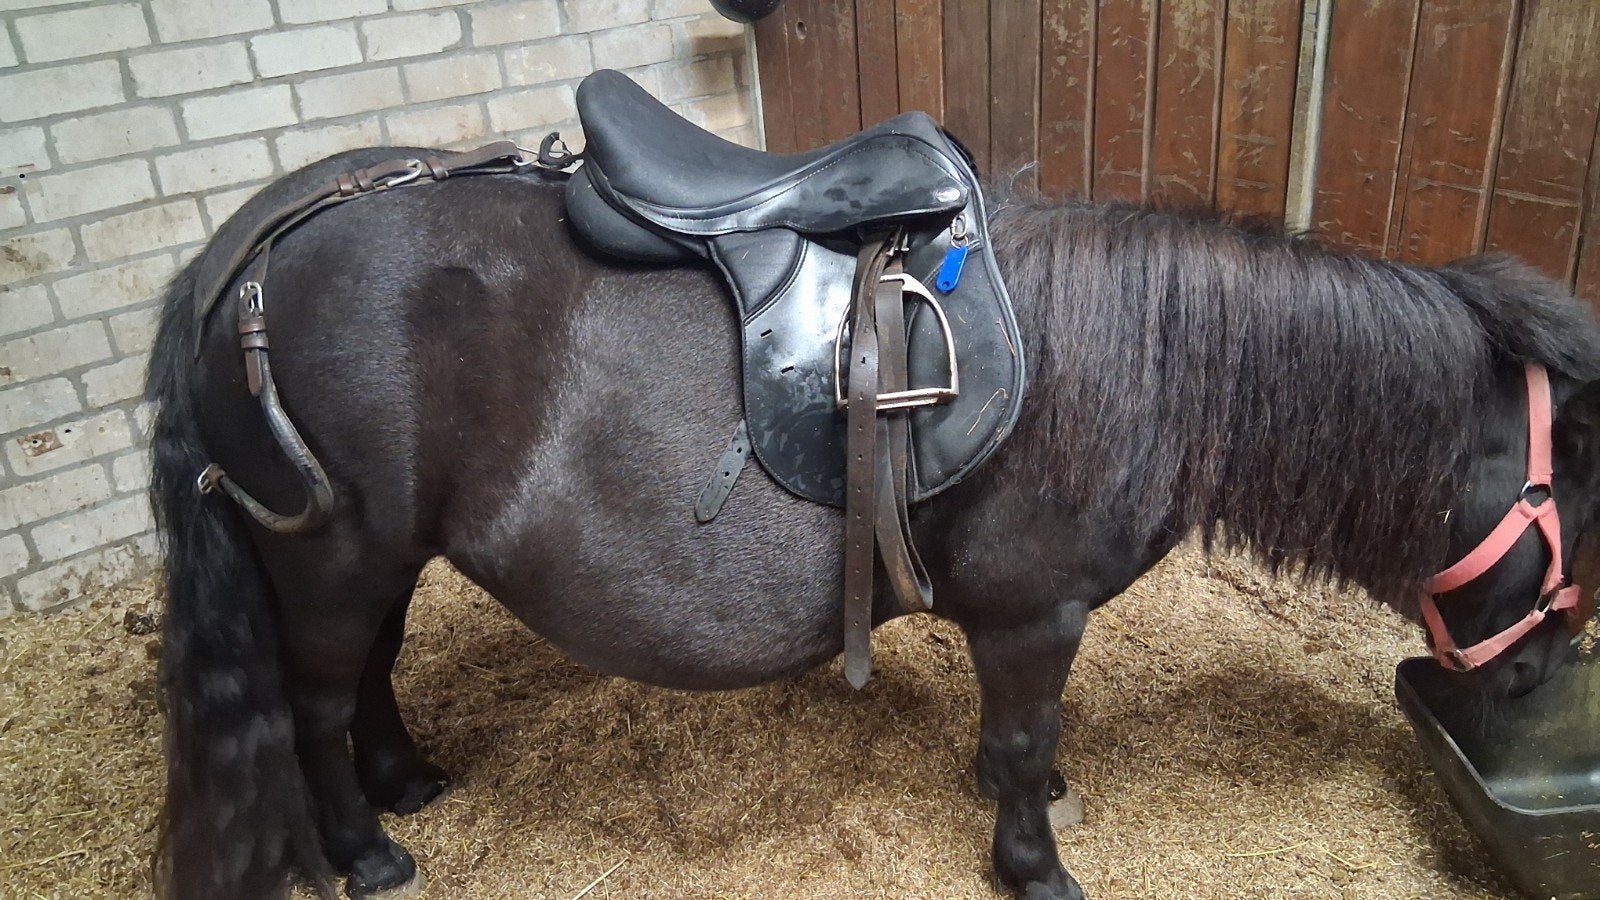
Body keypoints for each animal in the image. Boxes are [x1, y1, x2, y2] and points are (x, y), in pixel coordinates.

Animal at [147, 147, 1600, 900]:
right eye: (1579, 498)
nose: (1545, 668)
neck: (1136, 367)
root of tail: (250, 246)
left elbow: (1021, 745)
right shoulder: (1030, 614)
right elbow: (1019, 743)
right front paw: (1032, 864)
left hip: (379, 557)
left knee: (367, 678)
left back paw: (407, 779)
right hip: (328, 558)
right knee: (314, 706)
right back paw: (365, 850)